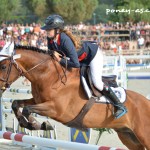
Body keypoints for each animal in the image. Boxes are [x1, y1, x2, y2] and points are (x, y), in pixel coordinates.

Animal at [0, 42, 149, 149]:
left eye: (3, 66)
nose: (0, 88)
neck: (49, 76)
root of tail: (146, 102)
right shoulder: (37, 100)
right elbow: (16, 104)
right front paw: (31, 123)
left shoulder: (56, 109)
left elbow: (27, 109)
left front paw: (38, 124)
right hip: (128, 136)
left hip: (143, 136)